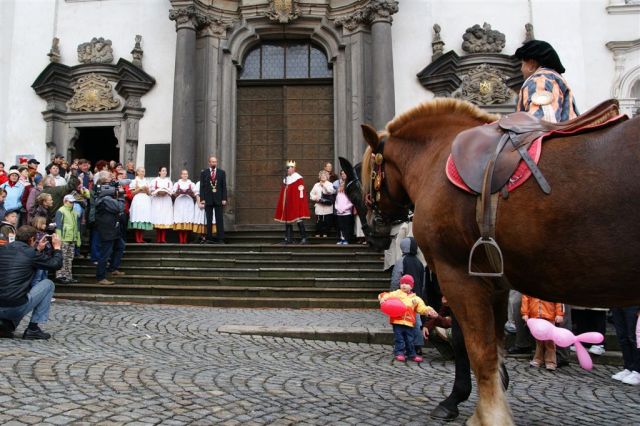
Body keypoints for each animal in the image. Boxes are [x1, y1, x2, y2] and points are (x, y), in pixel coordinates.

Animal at [356, 99, 640, 426]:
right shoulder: (494, 280)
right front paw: (490, 391)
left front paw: (484, 411)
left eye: (370, 174)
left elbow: (475, 347)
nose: (371, 230)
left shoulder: (457, 275)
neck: (435, 157)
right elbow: (493, 344)